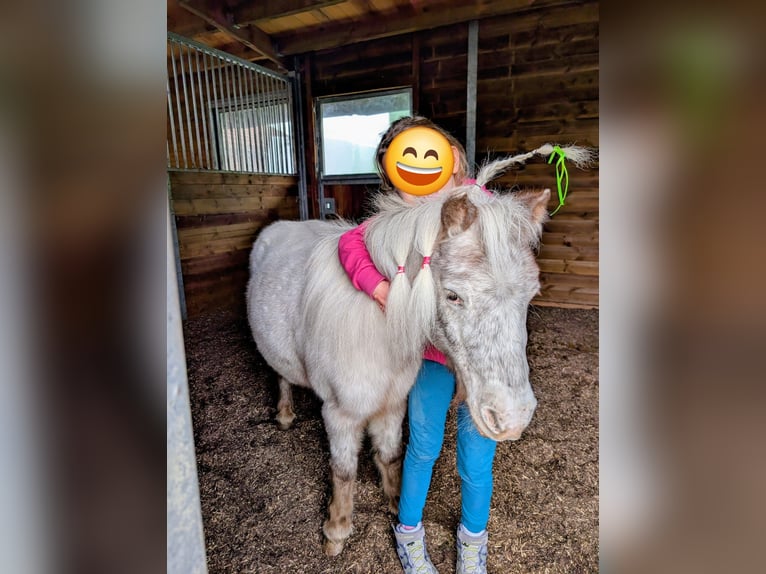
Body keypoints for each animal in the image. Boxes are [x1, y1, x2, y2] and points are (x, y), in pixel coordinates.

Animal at [246, 146, 593, 556]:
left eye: (531, 295)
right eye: (453, 295)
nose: (512, 418)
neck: (378, 335)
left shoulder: (393, 404)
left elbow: (391, 455)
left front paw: (397, 503)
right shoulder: (340, 415)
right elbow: (344, 472)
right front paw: (336, 531)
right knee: (280, 374)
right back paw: (284, 415)